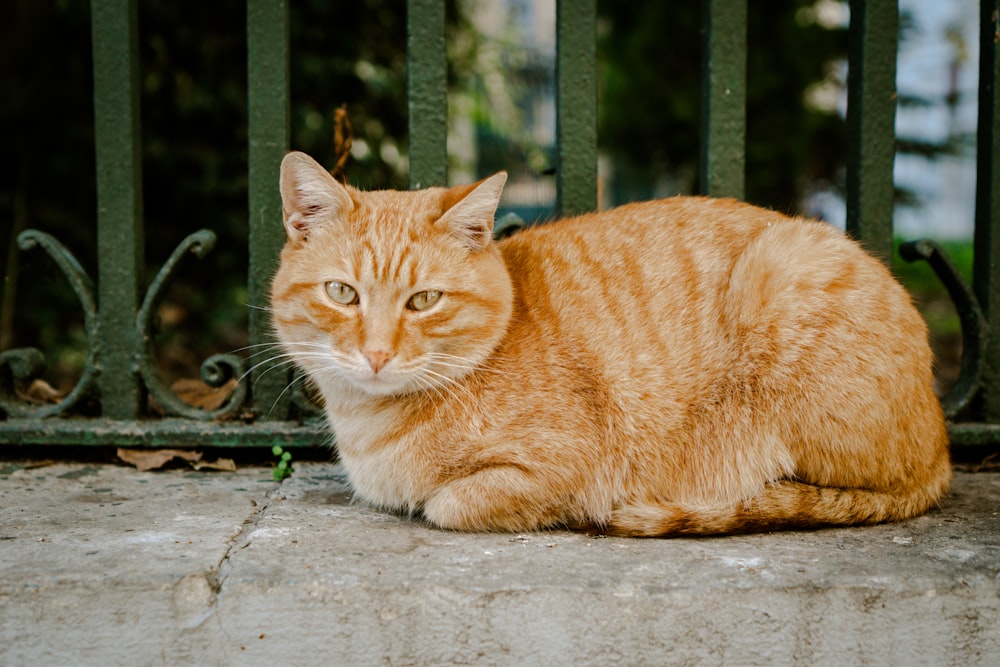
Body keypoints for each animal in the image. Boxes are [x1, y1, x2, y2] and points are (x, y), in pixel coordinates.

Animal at [272, 151, 952, 536]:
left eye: (423, 301)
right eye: (342, 293)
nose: (377, 354)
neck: (368, 425)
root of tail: (942, 445)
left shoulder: (558, 467)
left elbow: (450, 503)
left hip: (783, 278)